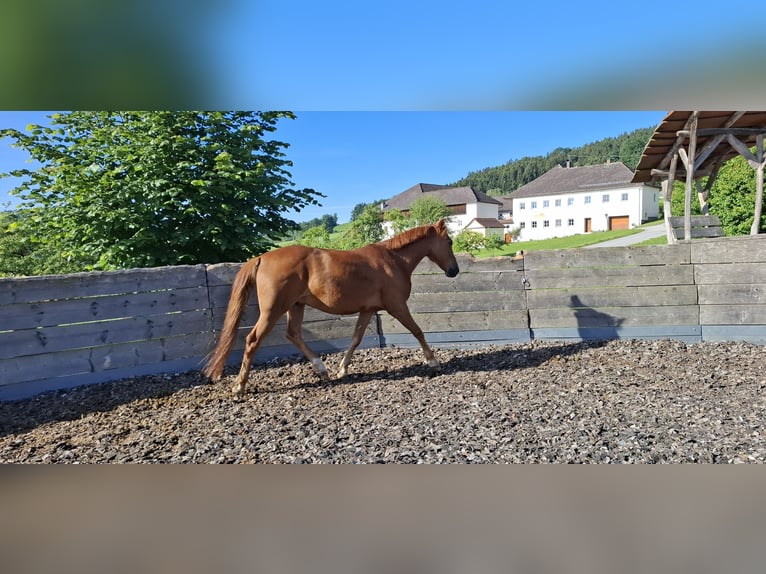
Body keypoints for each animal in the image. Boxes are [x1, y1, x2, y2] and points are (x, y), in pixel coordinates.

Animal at [203, 218, 460, 396]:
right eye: (449, 242)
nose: (454, 271)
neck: (393, 261)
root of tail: (261, 258)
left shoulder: (368, 310)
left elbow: (356, 339)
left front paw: (342, 370)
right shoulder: (396, 306)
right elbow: (417, 331)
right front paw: (433, 361)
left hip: (295, 306)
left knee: (293, 334)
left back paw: (322, 369)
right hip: (273, 310)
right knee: (253, 340)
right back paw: (239, 386)